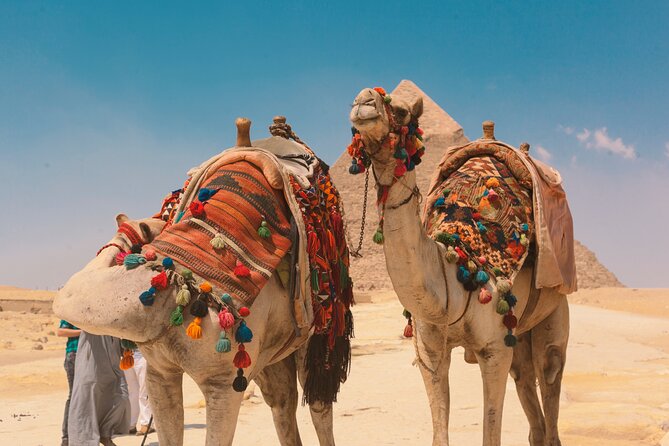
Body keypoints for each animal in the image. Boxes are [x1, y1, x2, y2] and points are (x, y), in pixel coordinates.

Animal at [53, 120, 344, 446]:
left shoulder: (224, 381)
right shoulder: (160, 372)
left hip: (318, 330)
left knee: (318, 401)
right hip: (272, 351)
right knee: (282, 402)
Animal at [348, 87, 570, 446]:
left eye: (401, 110)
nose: (363, 101)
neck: (457, 270)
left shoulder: (494, 350)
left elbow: (491, 434)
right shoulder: (429, 350)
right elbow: (440, 432)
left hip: (554, 308)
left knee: (549, 372)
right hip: (519, 333)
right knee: (526, 382)